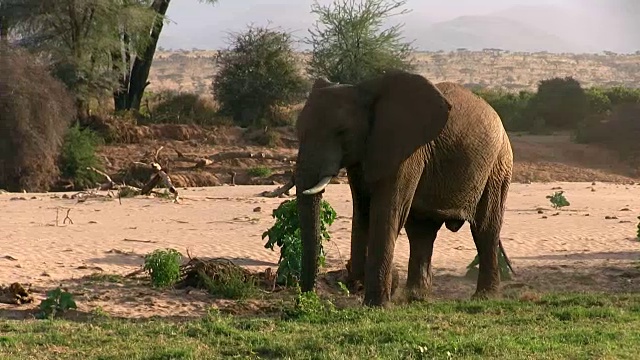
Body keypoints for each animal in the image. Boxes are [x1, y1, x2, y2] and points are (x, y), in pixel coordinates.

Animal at [296, 69, 516, 306]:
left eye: (342, 132)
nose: (308, 297)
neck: (363, 89)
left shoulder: (406, 153)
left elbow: (387, 211)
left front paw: (377, 305)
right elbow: (363, 210)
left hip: (498, 166)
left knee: (485, 229)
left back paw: (484, 297)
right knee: (421, 231)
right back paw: (415, 297)